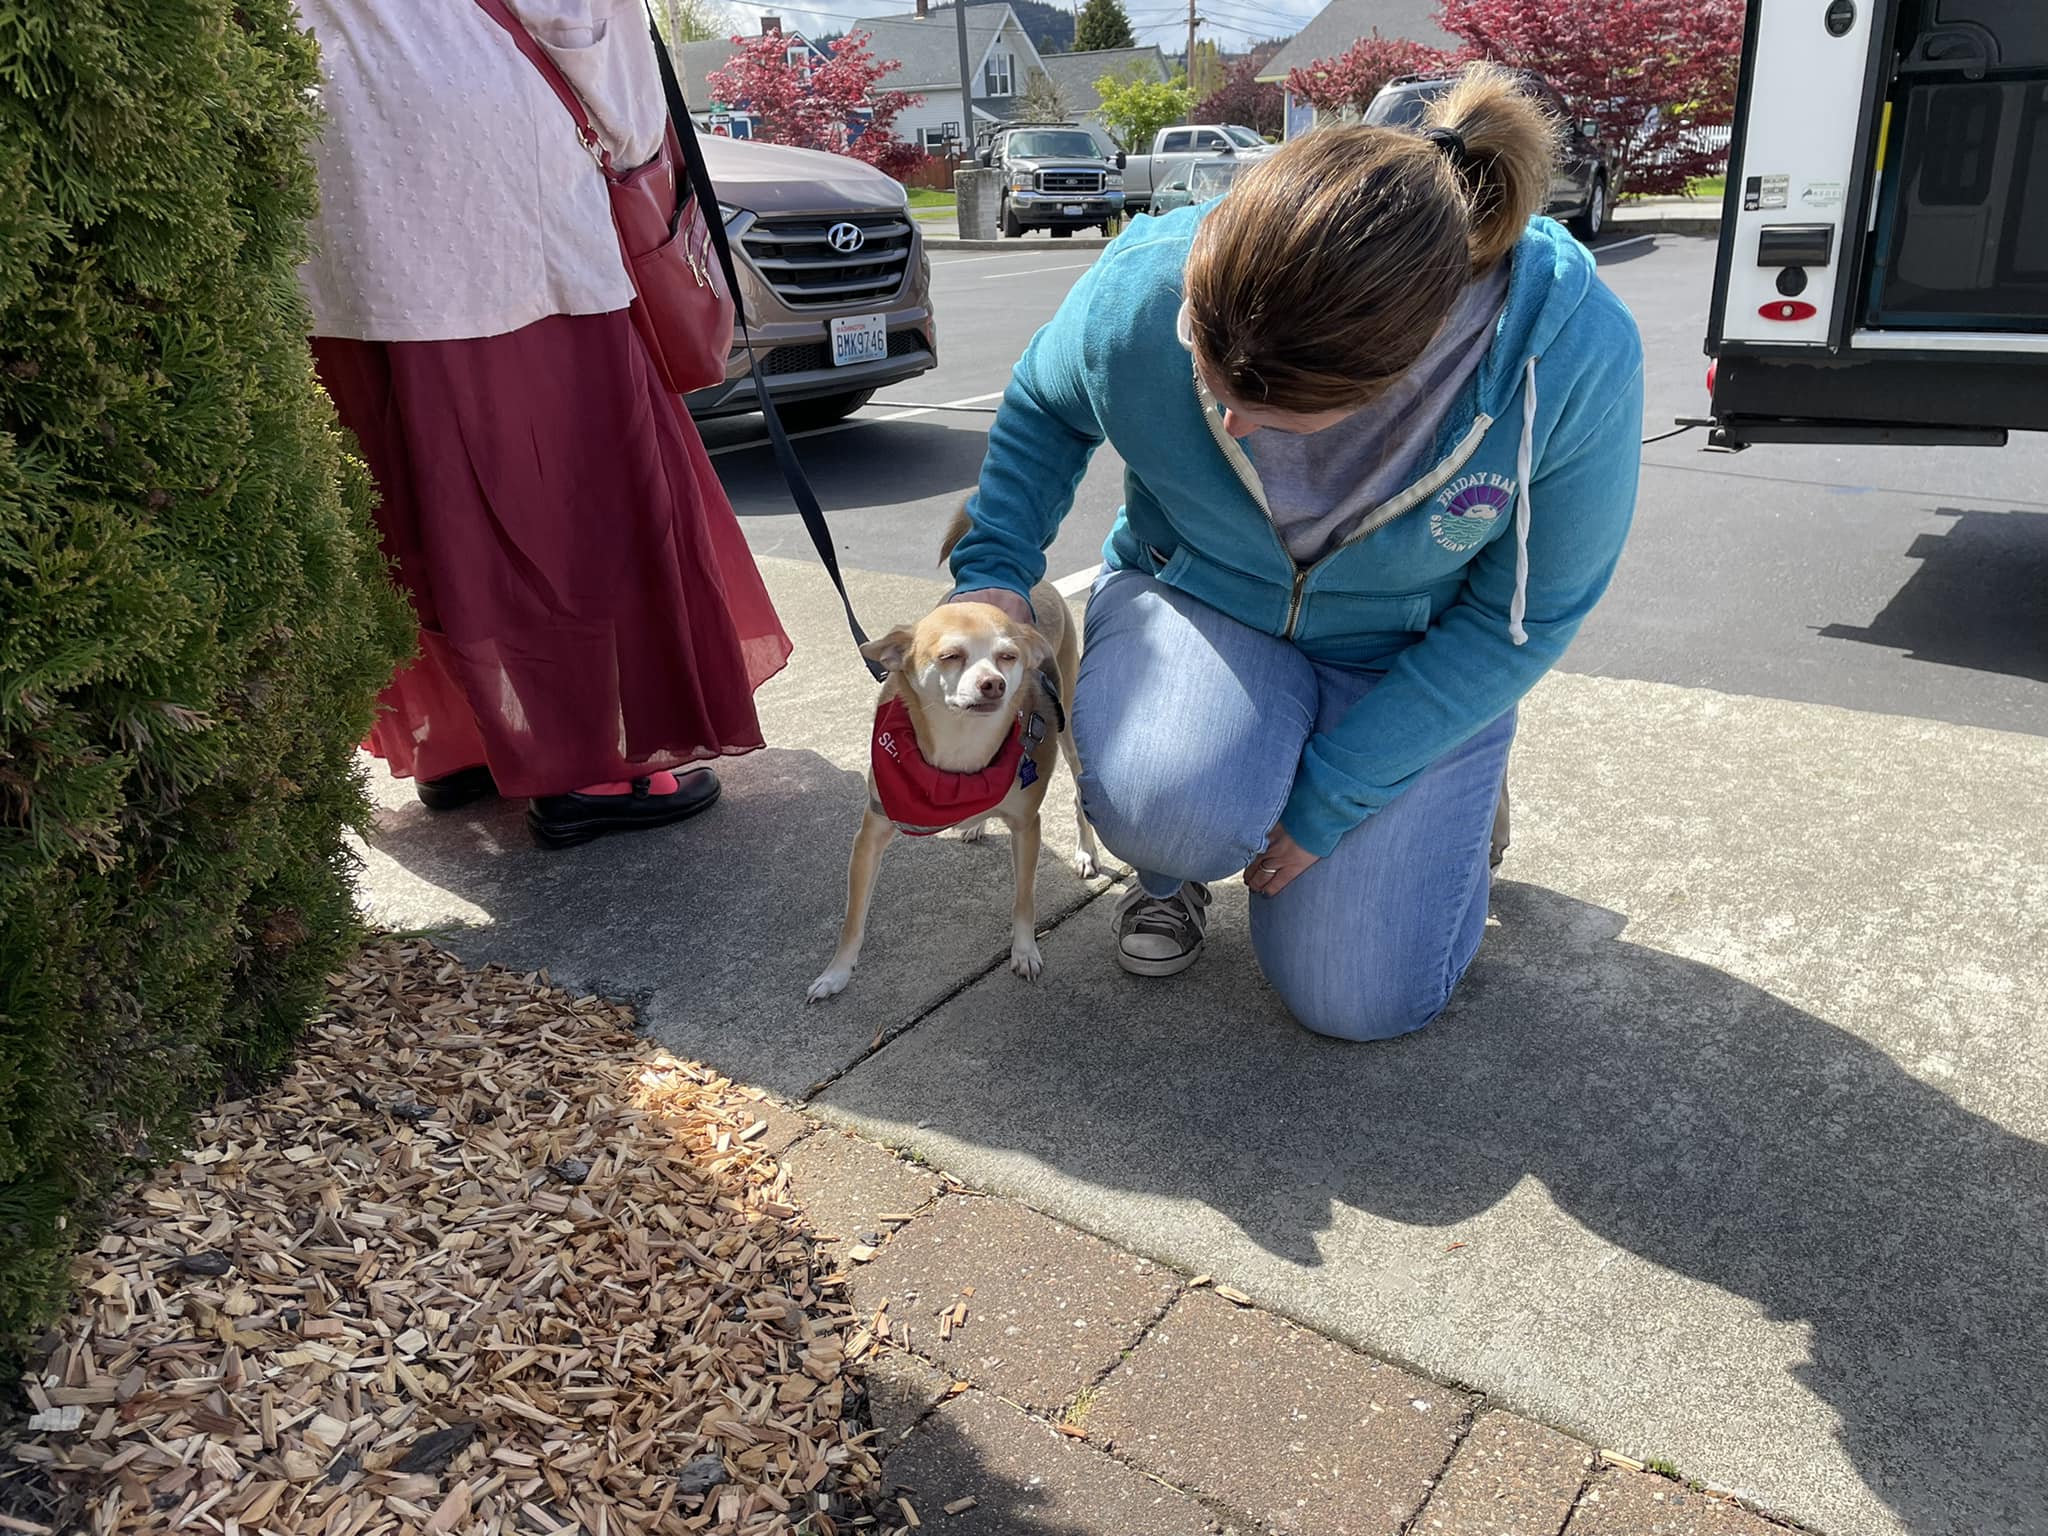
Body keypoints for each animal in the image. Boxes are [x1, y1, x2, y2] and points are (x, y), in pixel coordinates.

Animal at [815, 512, 1105, 1003]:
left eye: (1008, 657)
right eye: (950, 656)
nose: (994, 684)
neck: (960, 748)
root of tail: (1041, 582)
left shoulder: (1027, 827)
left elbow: (1024, 901)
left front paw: (1024, 951)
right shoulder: (871, 833)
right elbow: (852, 920)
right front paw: (837, 973)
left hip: (1070, 730)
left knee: (1079, 795)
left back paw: (1085, 852)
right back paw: (975, 822)